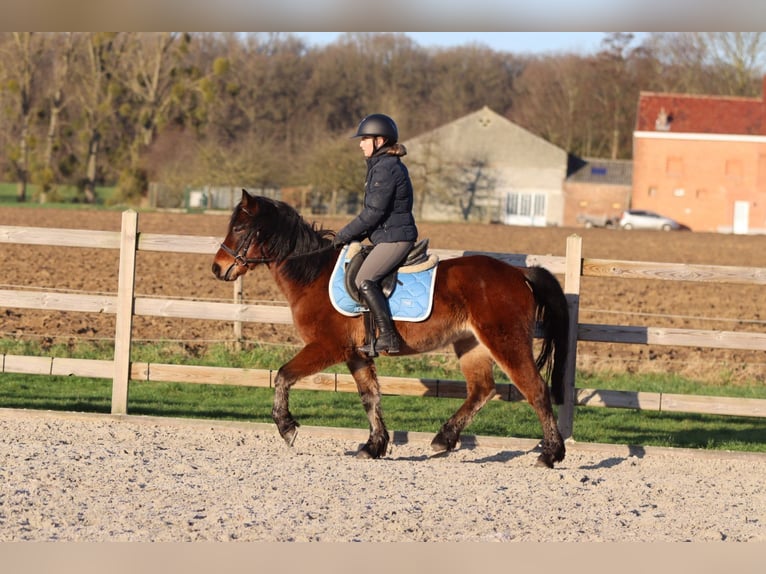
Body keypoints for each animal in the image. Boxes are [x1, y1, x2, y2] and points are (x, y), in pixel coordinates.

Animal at [212, 190, 570, 468]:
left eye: (240, 227)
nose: (217, 268)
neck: (312, 274)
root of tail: (518, 273)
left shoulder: (327, 346)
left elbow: (284, 375)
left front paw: (286, 426)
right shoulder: (356, 354)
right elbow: (370, 396)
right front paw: (374, 446)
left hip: (505, 341)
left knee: (535, 389)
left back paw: (550, 454)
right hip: (471, 344)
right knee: (481, 389)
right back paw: (444, 439)